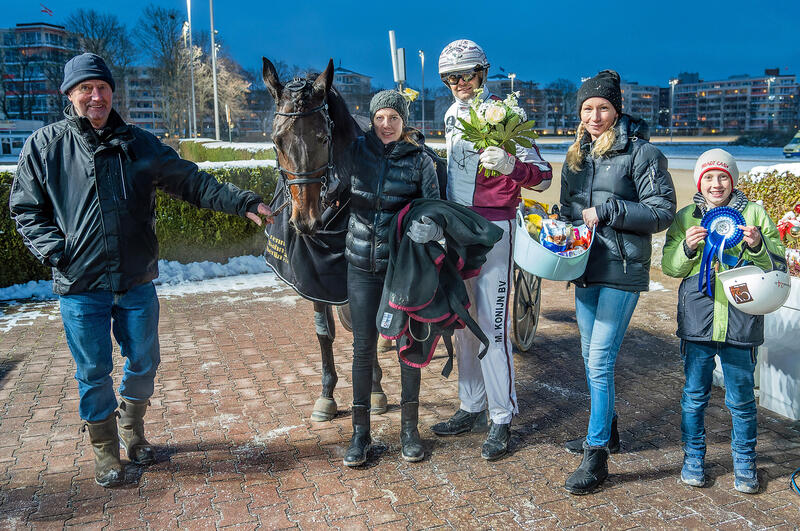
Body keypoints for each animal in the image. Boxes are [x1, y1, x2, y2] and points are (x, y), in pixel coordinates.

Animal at [264, 57, 386, 424]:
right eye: (278, 140)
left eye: (322, 137)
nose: (305, 220)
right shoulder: (313, 276)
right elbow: (324, 331)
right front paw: (327, 395)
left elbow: (365, 327)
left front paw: (375, 389)